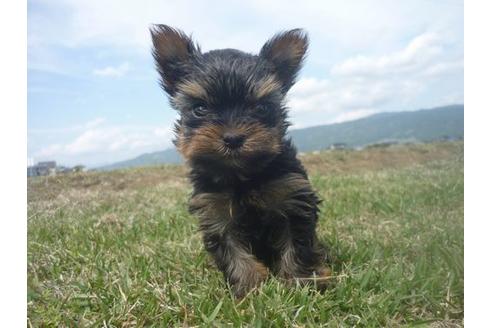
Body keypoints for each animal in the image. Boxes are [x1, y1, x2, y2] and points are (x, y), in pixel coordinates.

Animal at [150, 25, 330, 298]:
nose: (233, 138)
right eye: (200, 109)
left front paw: (300, 282)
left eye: (261, 108)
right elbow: (233, 253)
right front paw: (250, 288)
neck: (242, 175)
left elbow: (296, 244)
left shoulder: (292, 198)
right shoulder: (215, 211)